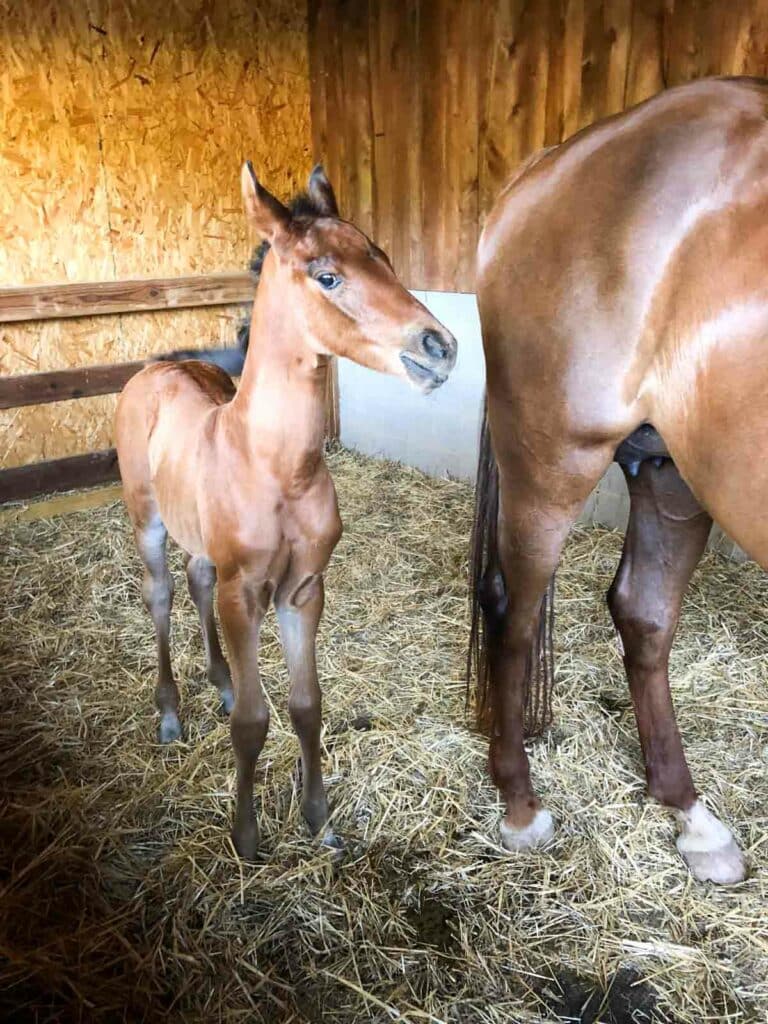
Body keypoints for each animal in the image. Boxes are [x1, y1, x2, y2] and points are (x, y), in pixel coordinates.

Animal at [114, 161, 456, 856]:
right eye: (327, 276)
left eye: (383, 257)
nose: (439, 347)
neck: (276, 467)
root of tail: (155, 369)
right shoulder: (245, 591)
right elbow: (254, 719)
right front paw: (245, 835)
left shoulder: (303, 588)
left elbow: (306, 706)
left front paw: (319, 820)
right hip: (148, 522)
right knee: (161, 593)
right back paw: (170, 714)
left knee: (196, 578)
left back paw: (219, 682)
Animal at [468, 75, 768, 884]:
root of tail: (545, 168)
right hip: (553, 458)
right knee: (511, 607)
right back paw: (520, 804)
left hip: (670, 471)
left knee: (643, 611)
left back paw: (689, 813)